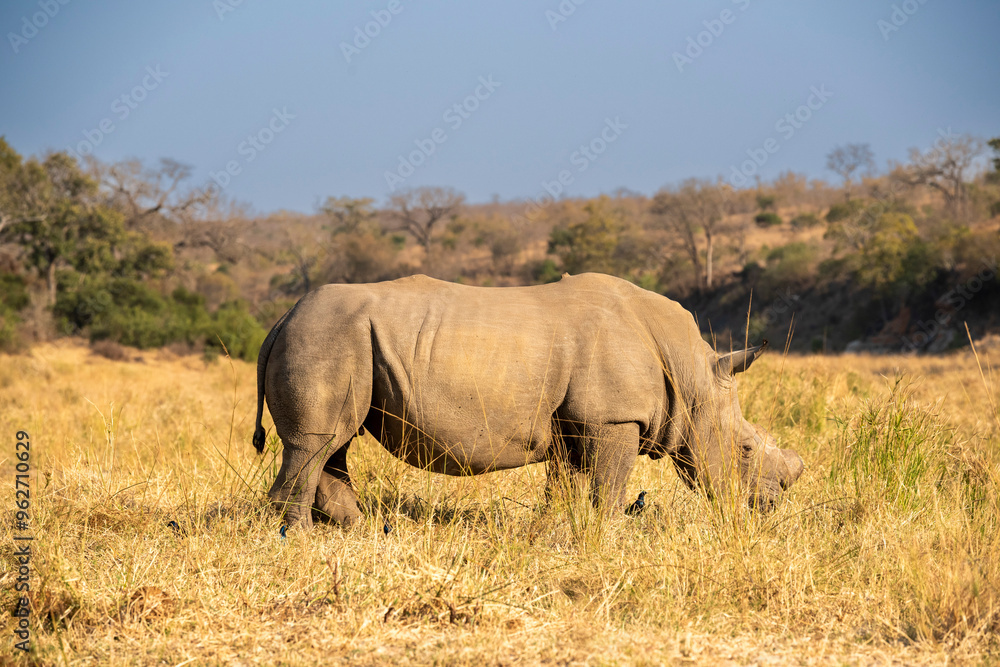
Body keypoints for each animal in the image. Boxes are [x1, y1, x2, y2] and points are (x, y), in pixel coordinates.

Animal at [253, 273, 803, 528]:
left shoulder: (577, 421)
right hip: (325, 336)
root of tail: (280, 319)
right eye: (746, 450)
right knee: (317, 443)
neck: (691, 374)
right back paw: (303, 539)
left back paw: (360, 529)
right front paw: (608, 533)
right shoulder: (613, 418)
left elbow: (568, 483)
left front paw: (562, 531)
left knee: (334, 445)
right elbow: (610, 482)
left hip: (338, 338)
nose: (769, 506)